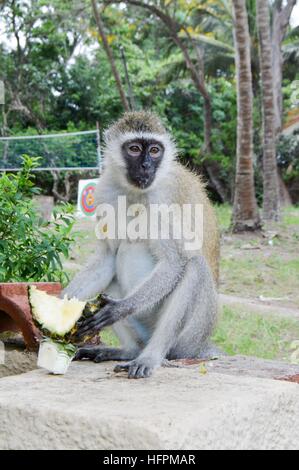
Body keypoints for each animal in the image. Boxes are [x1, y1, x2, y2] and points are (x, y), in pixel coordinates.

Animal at [65, 112, 220, 380]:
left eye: (155, 150)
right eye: (135, 149)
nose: (147, 165)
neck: (134, 192)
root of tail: (202, 346)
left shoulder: (162, 202)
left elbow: (175, 262)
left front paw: (121, 308)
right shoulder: (105, 191)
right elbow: (107, 257)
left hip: (191, 336)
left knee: (193, 266)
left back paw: (150, 356)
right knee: (113, 270)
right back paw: (129, 351)